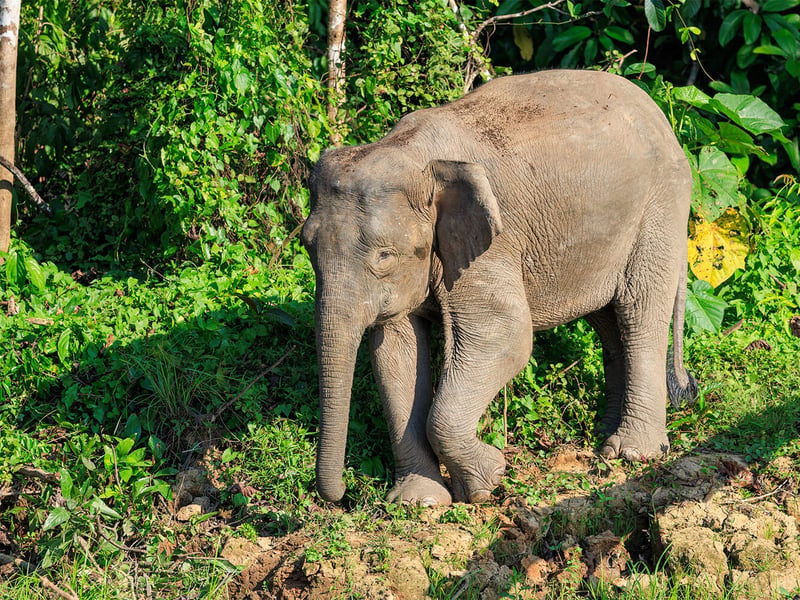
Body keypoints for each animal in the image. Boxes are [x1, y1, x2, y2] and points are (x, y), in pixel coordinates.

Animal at [302, 69, 698, 506]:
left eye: (385, 255)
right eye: (306, 246)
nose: (340, 495)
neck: (412, 154)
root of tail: (664, 120)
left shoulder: (494, 241)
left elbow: (504, 335)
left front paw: (486, 481)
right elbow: (395, 354)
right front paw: (419, 502)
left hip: (660, 207)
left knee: (637, 312)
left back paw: (630, 453)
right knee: (608, 323)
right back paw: (601, 437)